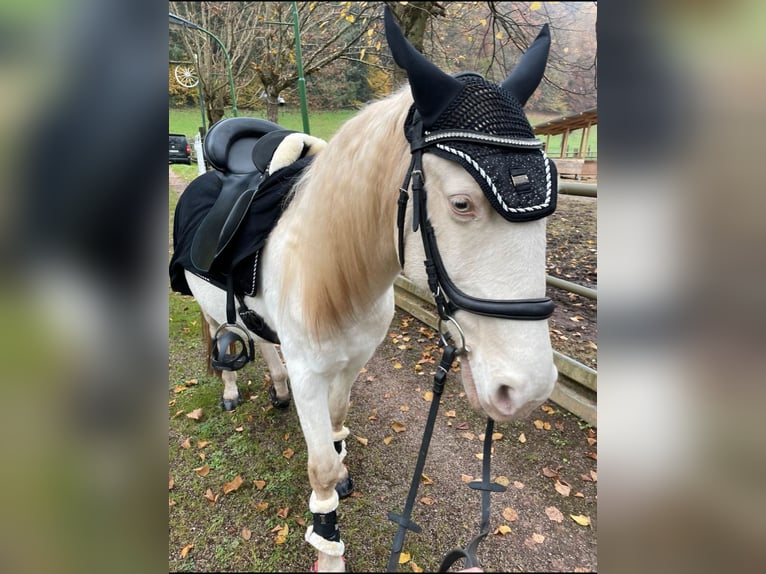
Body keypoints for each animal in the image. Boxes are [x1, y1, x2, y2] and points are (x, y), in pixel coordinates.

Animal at [172, 7, 560, 572]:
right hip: (207, 310)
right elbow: (320, 468)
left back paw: (276, 388)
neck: (336, 275)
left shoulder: (351, 364)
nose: (528, 389)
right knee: (220, 335)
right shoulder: (311, 373)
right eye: (462, 203)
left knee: (263, 342)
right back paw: (229, 390)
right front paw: (329, 548)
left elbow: (337, 429)